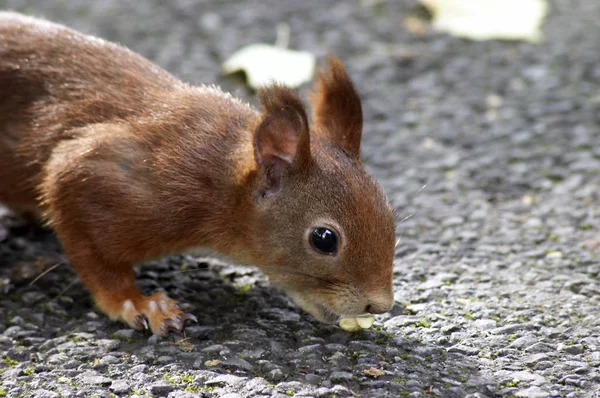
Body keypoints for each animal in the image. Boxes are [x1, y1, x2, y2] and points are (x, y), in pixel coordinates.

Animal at [1, 12, 398, 334]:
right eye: (324, 239)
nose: (379, 305)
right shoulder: (100, 175)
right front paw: (140, 304)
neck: (215, 182)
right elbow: (95, 258)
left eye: (390, 217)